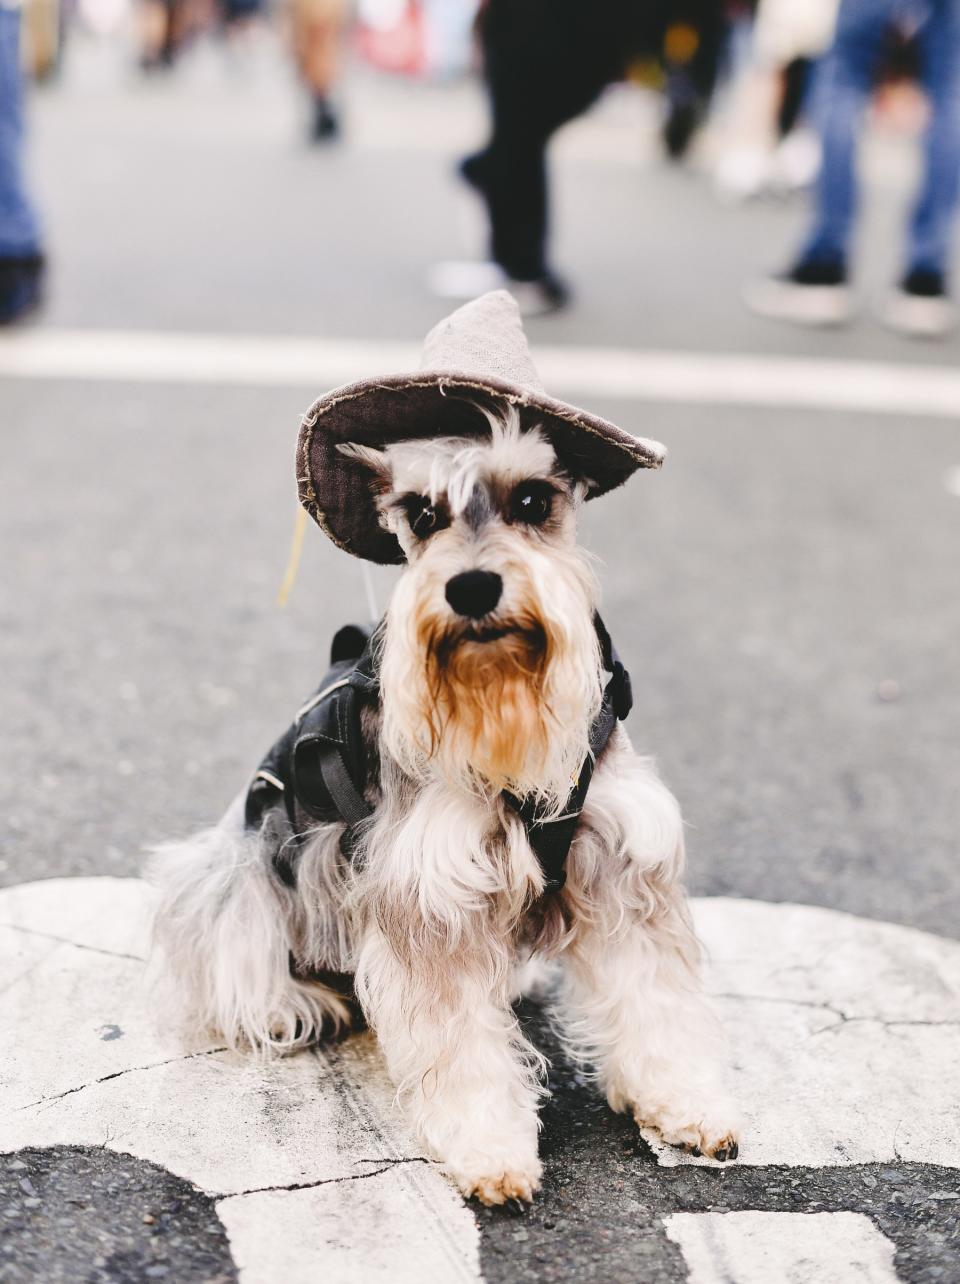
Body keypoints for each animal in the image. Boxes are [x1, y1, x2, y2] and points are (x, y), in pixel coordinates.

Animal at [148, 291, 744, 1201]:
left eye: (532, 500)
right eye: (423, 515)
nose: (469, 587)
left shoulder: (624, 869)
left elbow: (659, 1003)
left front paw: (687, 1102)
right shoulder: (427, 898)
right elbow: (460, 1043)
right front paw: (489, 1149)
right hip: (235, 877)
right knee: (237, 962)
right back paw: (294, 1003)